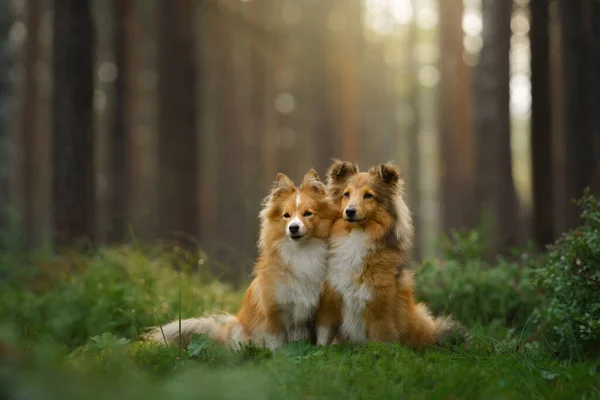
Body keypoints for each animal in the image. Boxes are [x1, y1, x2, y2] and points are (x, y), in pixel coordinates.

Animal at [144, 169, 338, 350]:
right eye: (286, 215)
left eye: (307, 214)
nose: (293, 228)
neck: (301, 252)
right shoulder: (273, 313)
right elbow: (276, 343)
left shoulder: (316, 312)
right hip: (239, 329)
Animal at [316, 159, 466, 346]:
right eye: (346, 194)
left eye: (368, 195)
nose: (349, 211)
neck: (357, 237)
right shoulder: (330, 301)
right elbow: (323, 337)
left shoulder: (381, 311)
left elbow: (381, 341)